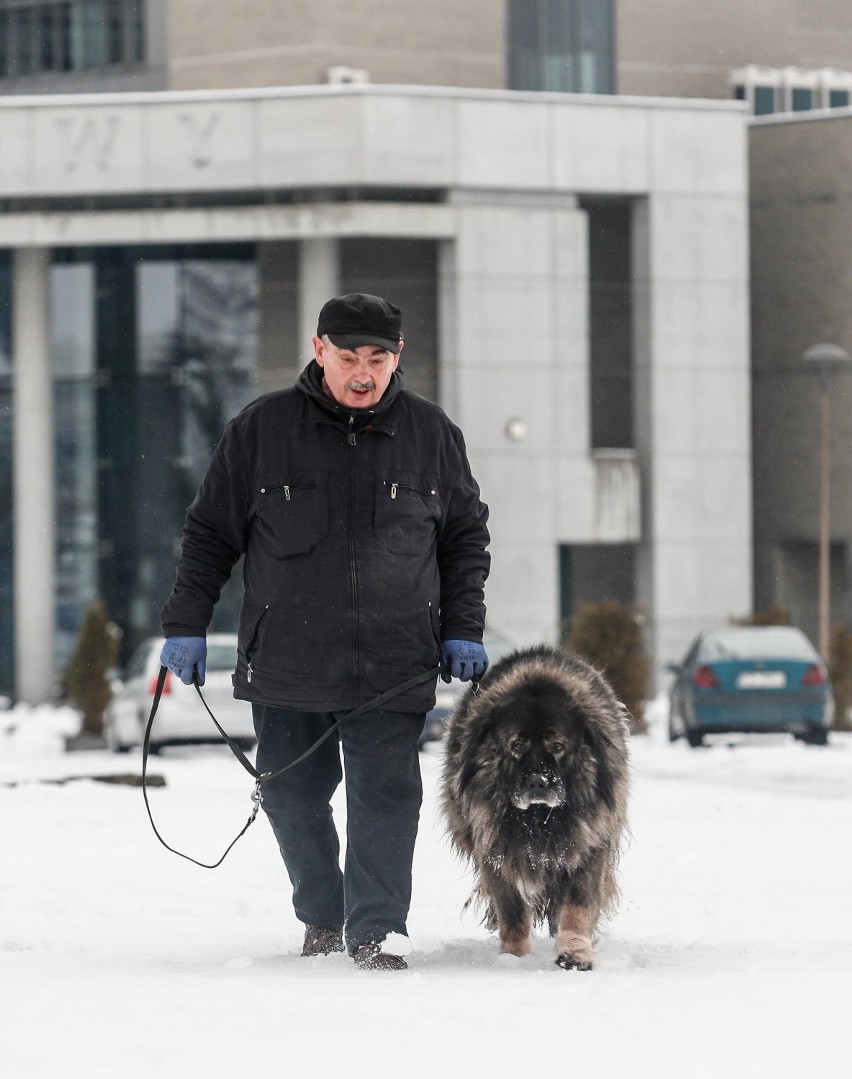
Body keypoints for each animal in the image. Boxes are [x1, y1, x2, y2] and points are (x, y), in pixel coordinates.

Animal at [444, 643, 629, 975]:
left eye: (558, 745)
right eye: (516, 746)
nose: (538, 782)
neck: (540, 819)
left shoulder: (591, 844)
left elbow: (578, 906)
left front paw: (575, 953)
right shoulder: (496, 851)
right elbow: (513, 912)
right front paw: (513, 958)